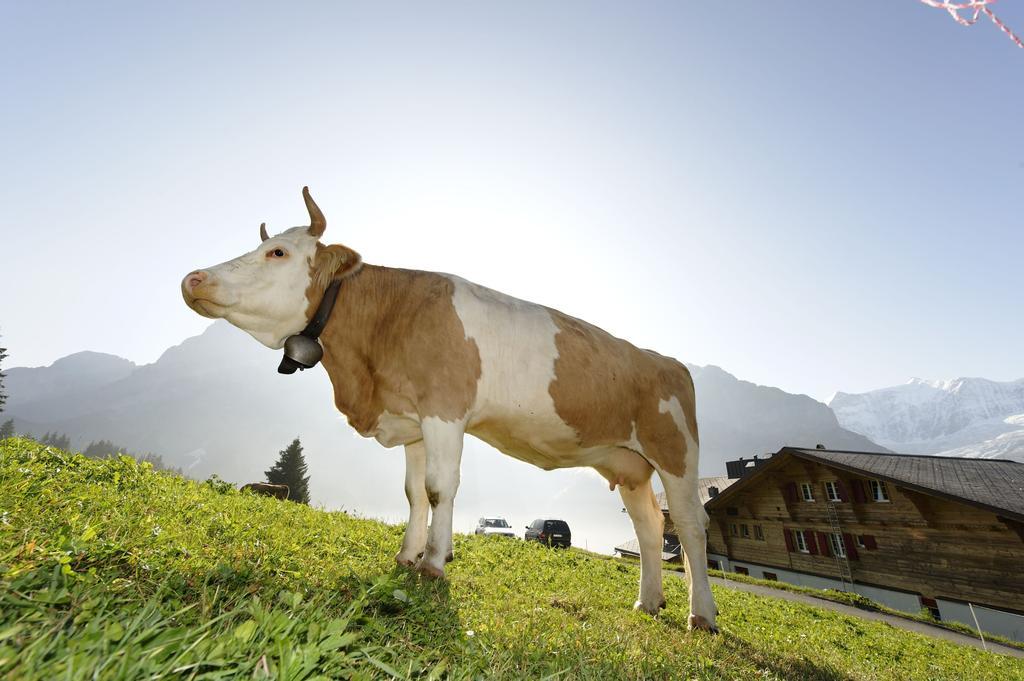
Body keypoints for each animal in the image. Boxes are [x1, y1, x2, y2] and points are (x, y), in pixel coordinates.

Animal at [180, 187, 716, 630]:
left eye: (278, 252)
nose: (192, 279)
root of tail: (664, 360)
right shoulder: (413, 421)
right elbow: (414, 492)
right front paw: (407, 555)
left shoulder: (444, 412)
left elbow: (440, 489)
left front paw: (435, 563)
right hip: (628, 464)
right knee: (649, 528)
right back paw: (648, 602)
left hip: (675, 452)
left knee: (689, 526)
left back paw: (702, 615)